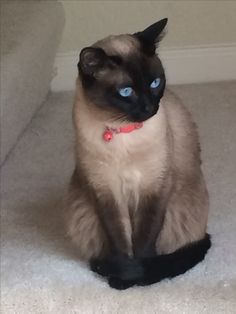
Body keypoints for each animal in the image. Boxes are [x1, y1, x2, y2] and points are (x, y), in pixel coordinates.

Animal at [65, 19, 211, 290]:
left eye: (155, 83)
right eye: (126, 92)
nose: (149, 108)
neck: (122, 135)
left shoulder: (154, 189)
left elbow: (144, 241)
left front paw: (138, 277)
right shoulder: (106, 192)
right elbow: (120, 240)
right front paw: (124, 274)